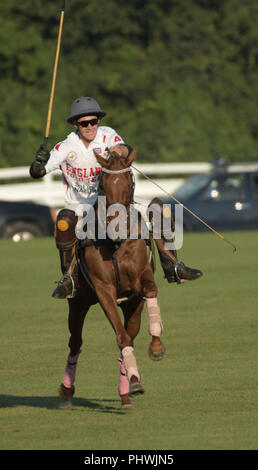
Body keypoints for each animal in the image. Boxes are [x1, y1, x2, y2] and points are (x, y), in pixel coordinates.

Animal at [58, 147, 165, 408]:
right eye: (103, 186)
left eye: (129, 182)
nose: (116, 228)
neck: (116, 243)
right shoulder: (104, 289)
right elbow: (121, 337)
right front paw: (135, 378)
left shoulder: (140, 281)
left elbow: (151, 290)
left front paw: (156, 346)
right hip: (78, 303)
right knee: (75, 342)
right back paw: (66, 390)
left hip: (131, 306)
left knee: (131, 333)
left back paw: (126, 391)